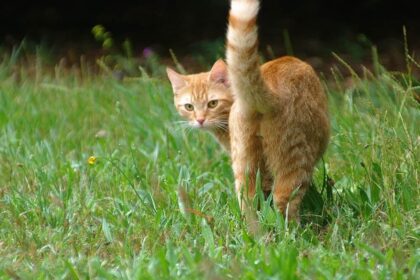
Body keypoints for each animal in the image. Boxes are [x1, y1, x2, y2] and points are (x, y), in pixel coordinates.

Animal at [167, 0, 328, 221]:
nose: (200, 120)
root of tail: (270, 90)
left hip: (245, 163)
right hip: (295, 159)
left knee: (248, 200)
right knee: (283, 199)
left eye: (212, 104)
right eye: (189, 107)